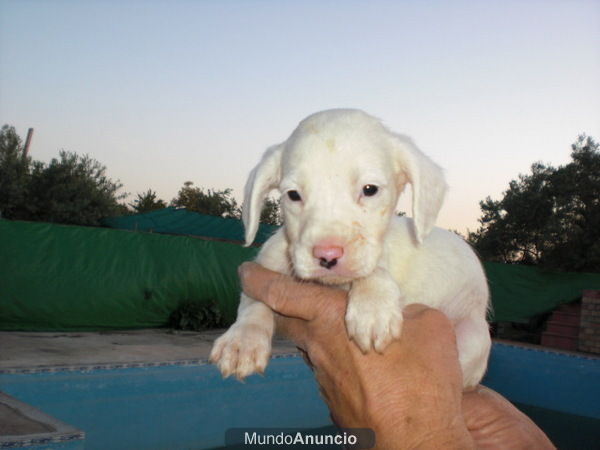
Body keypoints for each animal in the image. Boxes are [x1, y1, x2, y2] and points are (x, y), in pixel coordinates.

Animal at [209, 109, 490, 386]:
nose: (327, 255)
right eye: (293, 195)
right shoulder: (266, 267)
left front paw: (372, 306)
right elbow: (253, 303)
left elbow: (375, 269)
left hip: (473, 336)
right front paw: (243, 340)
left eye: (370, 189)